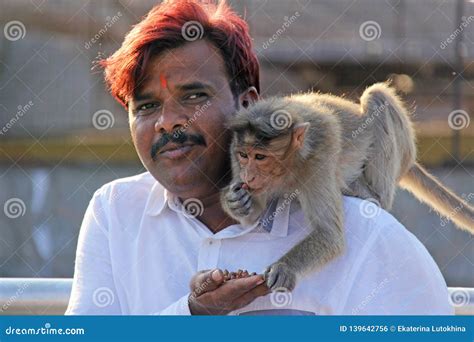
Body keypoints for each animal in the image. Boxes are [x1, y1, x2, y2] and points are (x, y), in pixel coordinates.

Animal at [220, 82, 472, 292]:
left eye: (260, 157)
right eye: (244, 155)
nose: (248, 175)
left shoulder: (318, 159)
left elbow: (329, 235)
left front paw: (284, 268)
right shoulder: (233, 151)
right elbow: (254, 217)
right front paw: (237, 202)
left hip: (400, 153)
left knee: (377, 97)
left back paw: (367, 192)